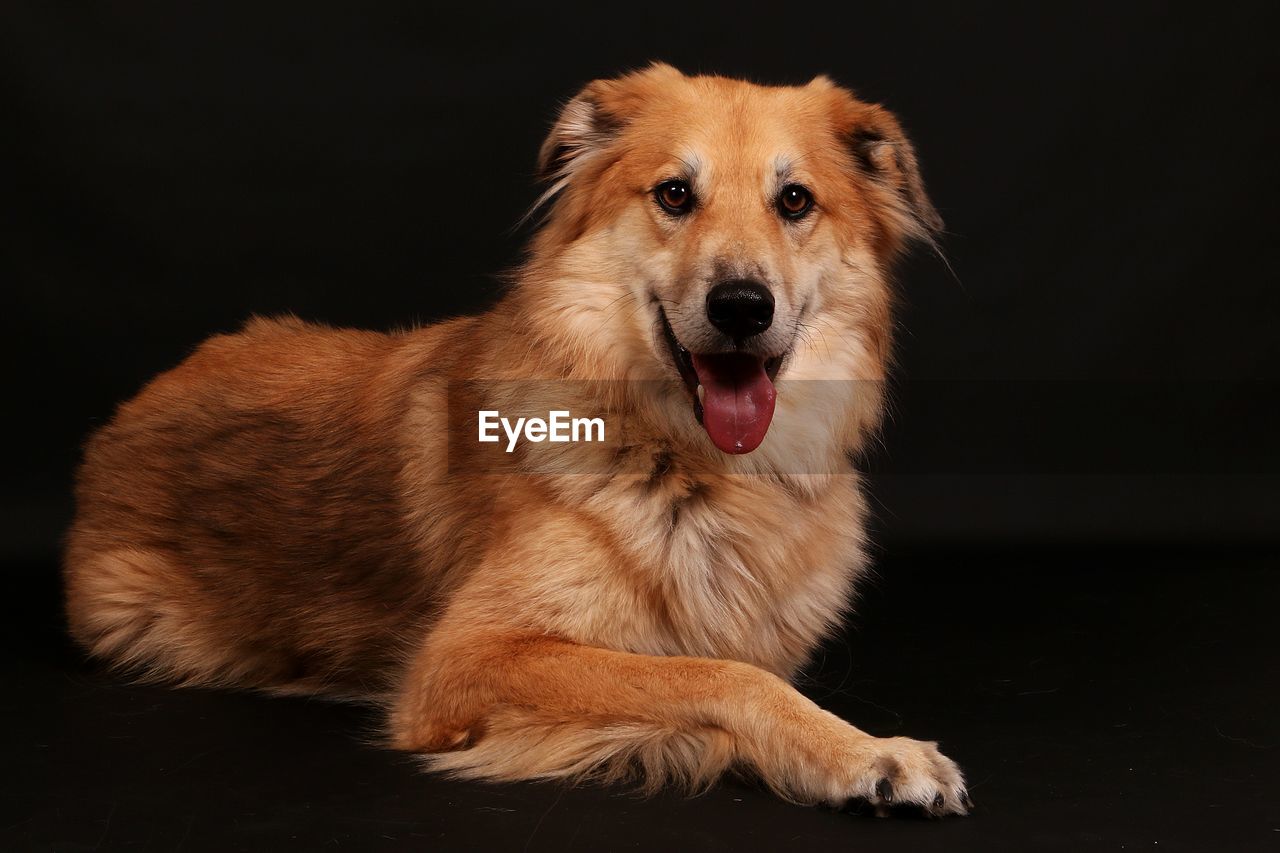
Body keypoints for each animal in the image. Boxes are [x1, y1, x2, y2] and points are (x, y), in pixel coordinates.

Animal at [62, 64, 967, 809]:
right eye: (676, 194)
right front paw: (864, 753)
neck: (694, 467)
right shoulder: (466, 658)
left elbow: (725, 665)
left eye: (795, 201)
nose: (742, 307)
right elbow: (715, 673)